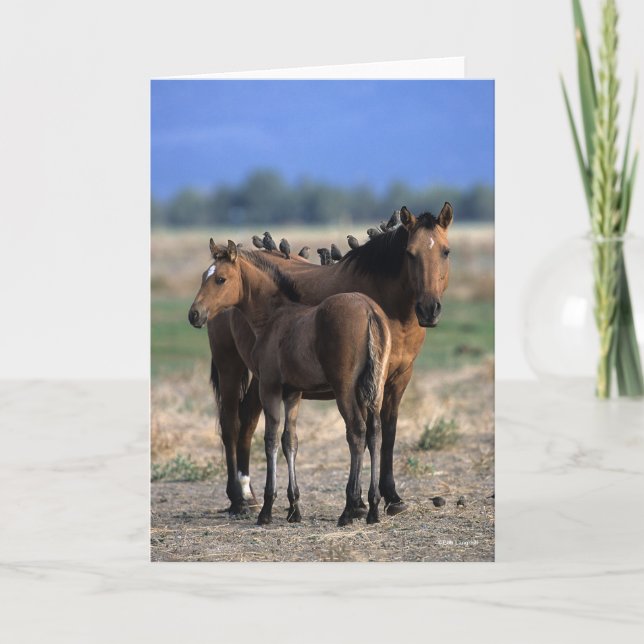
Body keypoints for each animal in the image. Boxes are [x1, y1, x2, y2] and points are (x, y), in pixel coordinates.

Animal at [189, 240, 392, 526]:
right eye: (202, 277)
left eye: (220, 279)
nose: (194, 314)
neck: (273, 318)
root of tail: (369, 310)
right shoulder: (293, 393)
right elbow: (290, 441)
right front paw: (294, 506)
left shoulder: (270, 388)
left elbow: (271, 439)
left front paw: (267, 508)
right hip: (375, 389)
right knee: (375, 433)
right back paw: (373, 507)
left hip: (344, 389)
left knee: (356, 432)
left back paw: (350, 508)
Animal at [205, 203, 453, 516]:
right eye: (410, 252)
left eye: (446, 251)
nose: (429, 309)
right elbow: (363, 432)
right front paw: (363, 500)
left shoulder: (398, 378)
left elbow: (387, 432)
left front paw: (391, 496)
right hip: (230, 366)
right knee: (230, 424)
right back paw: (237, 497)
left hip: (262, 377)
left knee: (248, 420)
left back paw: (248, 493)